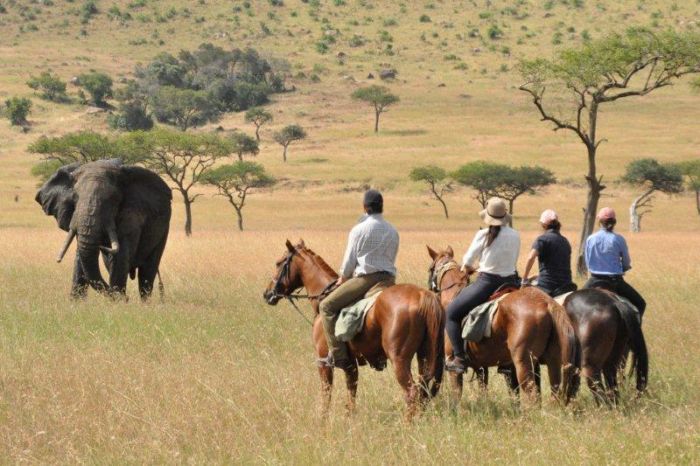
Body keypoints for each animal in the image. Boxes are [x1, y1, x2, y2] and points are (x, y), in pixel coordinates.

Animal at [36, 159, 172, 298]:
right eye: (75, 197)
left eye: (113, 199)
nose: (128, 298)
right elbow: (81, 256)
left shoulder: (131, 213)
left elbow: (120, 256)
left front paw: (118, 300)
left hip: (164, 229)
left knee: (147, 274)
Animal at [262, 240, 442, 418]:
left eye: (279, 263)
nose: (267, 293)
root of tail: (422, 296)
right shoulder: (351, 365)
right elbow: (351, 396)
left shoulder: (323, 362)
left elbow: (326, 395)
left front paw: (323, 421)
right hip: (423, 356)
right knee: (423, 391)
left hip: (399, 359)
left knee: (412, 392)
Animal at [424, 248, 576, 404]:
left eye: (430, 269)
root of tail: (547, 303)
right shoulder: (481, 367)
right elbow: (483, 390)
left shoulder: (453, 368)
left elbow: (457, 394)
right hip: (553, 363)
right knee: (554, 392)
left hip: (524, 363)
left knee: (532, 395)